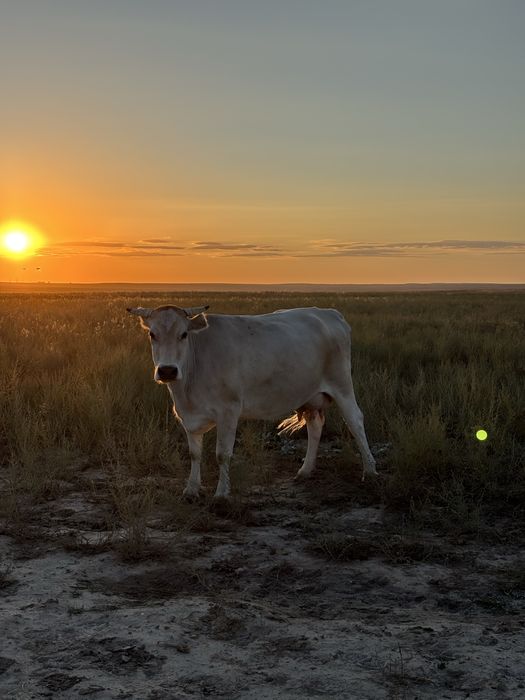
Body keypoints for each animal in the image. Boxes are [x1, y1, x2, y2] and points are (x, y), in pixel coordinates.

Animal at [127, 304, 377, 499]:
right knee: (315, 426)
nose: (167, 370)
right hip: (309, 394)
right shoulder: (188, 416)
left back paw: (370, 471)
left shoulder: (228, 411)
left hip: (342, 384)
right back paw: (305, 470)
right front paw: (191, 489)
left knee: (355, 421)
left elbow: (222, 454)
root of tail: (329, 313)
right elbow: (194, 454)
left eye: (183, 334)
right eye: (152, 334)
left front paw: (221, 493)